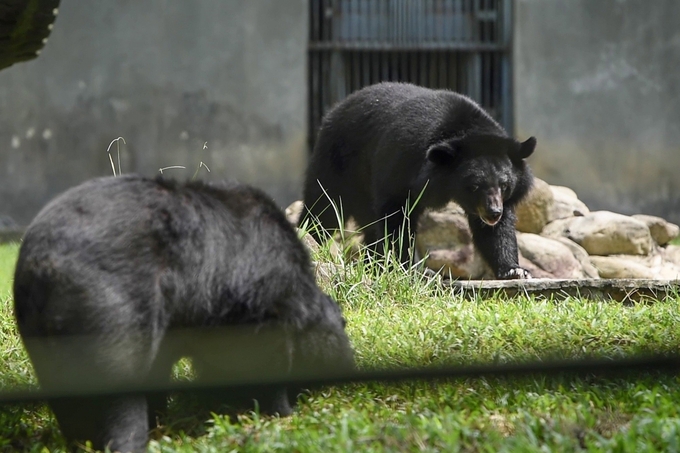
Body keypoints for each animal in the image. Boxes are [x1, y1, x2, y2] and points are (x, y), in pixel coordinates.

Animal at [13, 174, 356, 452]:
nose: (349, 370)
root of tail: (45, 267)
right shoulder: (254, 301)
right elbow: (262, 357)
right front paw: (282, 412)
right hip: (110, 310)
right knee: (118, 385)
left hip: (41, 331)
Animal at [302, 82, 536, 278]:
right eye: (474, 186)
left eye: (504, 185)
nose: (493, 212)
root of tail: (335, 110)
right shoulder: (401, 164)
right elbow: (396, 218)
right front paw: (402, 267)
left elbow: (495, 233)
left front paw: (514, 270)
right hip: (337, 162)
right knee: (323, 208)